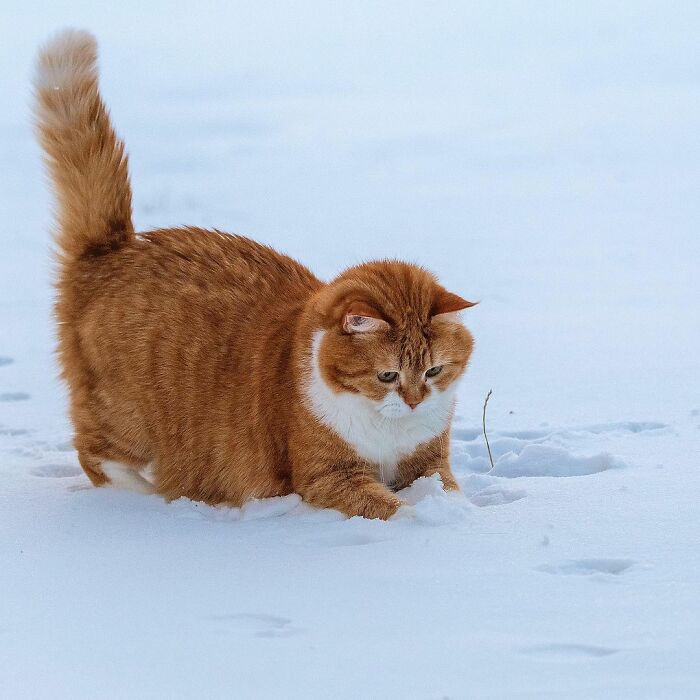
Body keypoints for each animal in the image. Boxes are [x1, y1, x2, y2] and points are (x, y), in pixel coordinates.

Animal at [32, 28, 476, 520]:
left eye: (434, 371)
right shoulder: (328, 476)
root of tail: (116, 247)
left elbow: (446, 489)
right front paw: (428, 523)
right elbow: (392, 508)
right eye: (386, 376)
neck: (387, 430)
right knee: (97, 455)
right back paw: (153, 497)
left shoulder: (429, 461)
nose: (415, 402)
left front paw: (459, 516)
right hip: (122, 415)